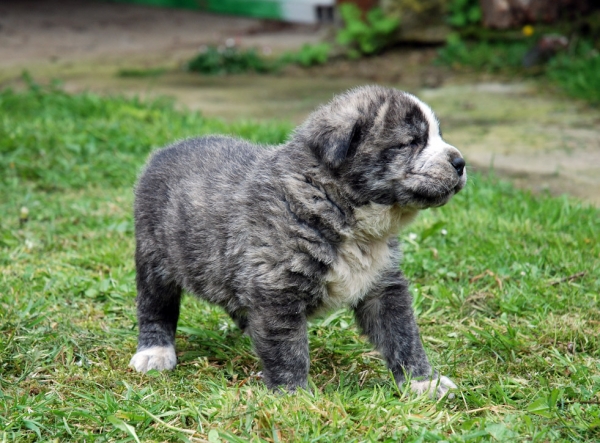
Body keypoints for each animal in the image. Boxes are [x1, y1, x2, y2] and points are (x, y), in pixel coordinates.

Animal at [131, 85, 466, 398]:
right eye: (410, 142)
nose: (460, 162)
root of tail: (165, 151)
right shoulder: (278, 288)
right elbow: (288, 349)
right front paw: (294, 397)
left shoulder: (383, 286)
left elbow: (403, 336)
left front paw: (424, 382)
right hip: (154, 257)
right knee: (155, 306)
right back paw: (154, 351)